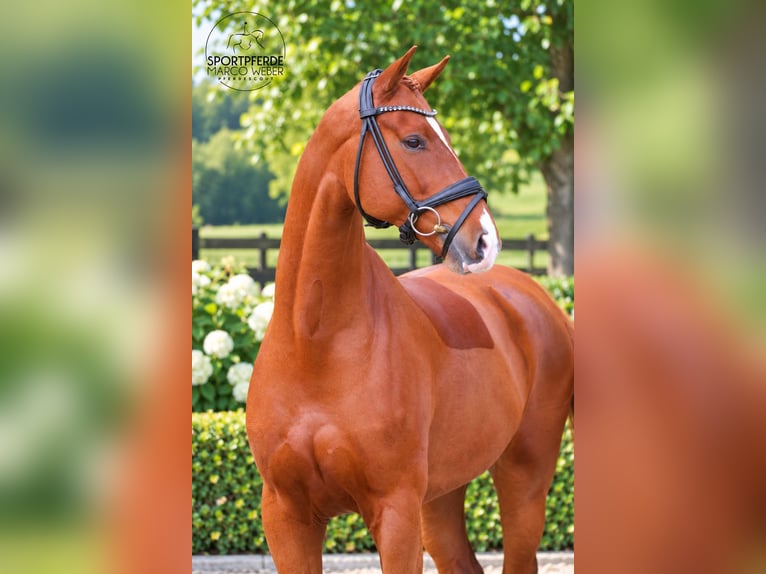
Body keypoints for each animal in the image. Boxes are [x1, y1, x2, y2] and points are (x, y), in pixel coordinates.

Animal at [246, 46, 574, 573]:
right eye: (415, 140)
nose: (485, 241)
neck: (315, 344)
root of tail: (539, 300)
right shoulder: (286, 516)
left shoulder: (395, 512)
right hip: (440, 495)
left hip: (524, 477)